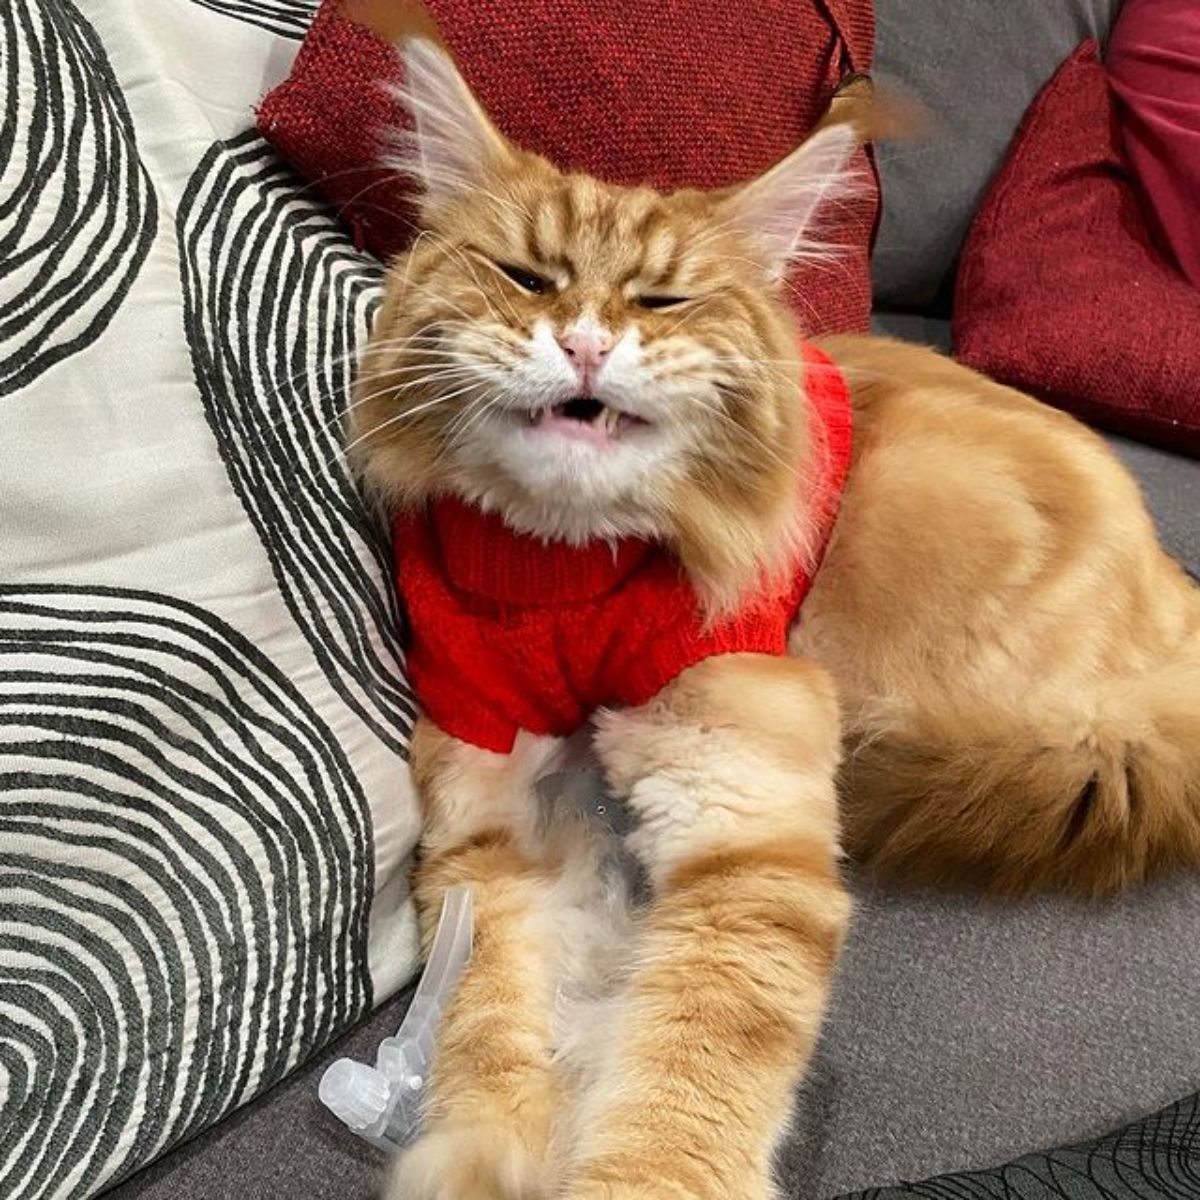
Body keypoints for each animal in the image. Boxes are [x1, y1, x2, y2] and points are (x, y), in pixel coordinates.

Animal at [350, 35, 1200, 1200]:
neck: (567, 579)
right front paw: (487, 1153)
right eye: (527, 277)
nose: (584, 344)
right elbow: (487, 1029)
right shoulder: (489, 815)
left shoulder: (746, 842)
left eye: (662, 300)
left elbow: (678, 1101)